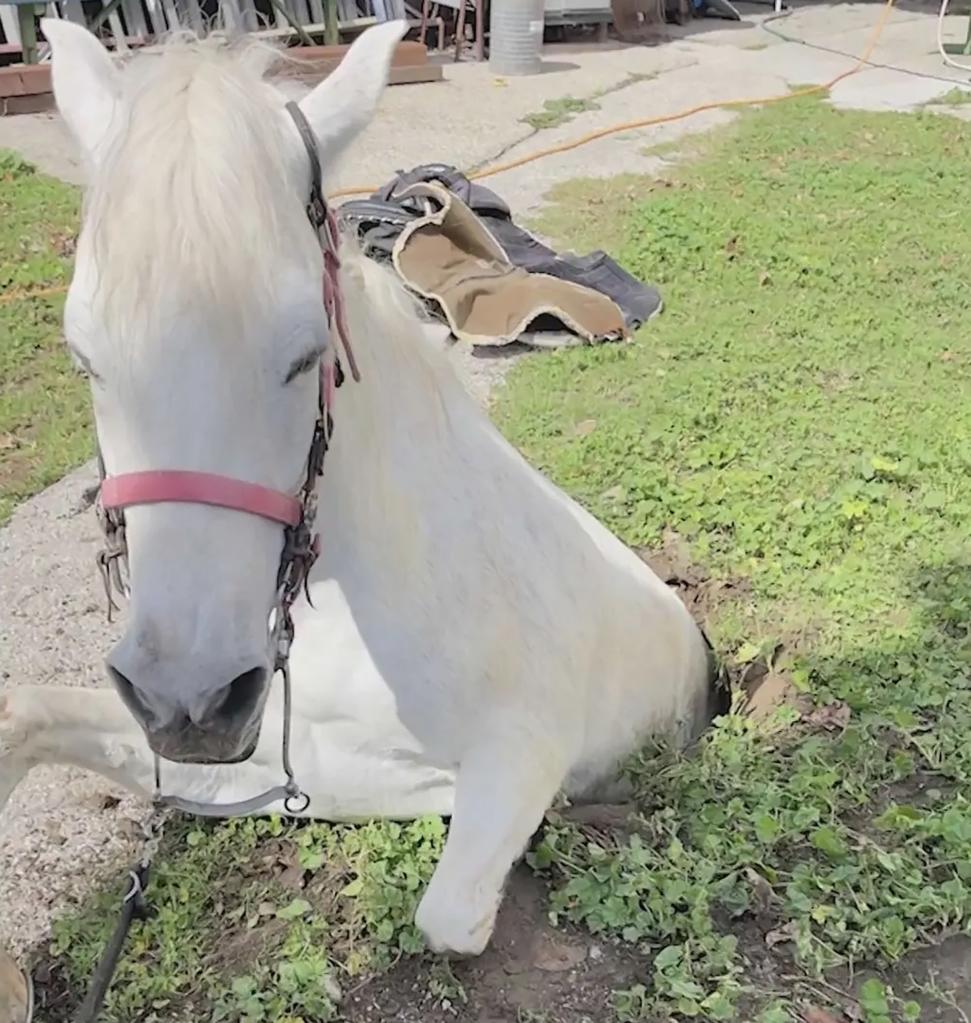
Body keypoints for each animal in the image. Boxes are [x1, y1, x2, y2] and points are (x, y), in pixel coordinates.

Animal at [0, 18, 712, 957]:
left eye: (306, 354)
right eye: (85, 359)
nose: (188, 701)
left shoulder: (526, 746)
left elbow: (447, 914)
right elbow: (21, 713)